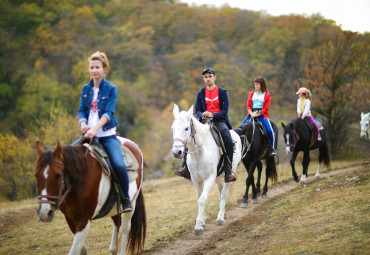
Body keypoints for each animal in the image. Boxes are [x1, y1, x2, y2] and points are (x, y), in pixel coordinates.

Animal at [171, 104, 243, 236]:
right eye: (173, 129)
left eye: (186, 128)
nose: (176, 152)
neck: (199, 153)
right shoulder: (195, 179)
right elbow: (199, 197)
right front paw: (202, 221)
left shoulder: (209, 178)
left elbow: (203, 199)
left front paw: (199, 225)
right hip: (218, 177)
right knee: (220, 191)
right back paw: (223, 213)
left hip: (228, 174)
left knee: (224, 193)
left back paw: (220, 218)